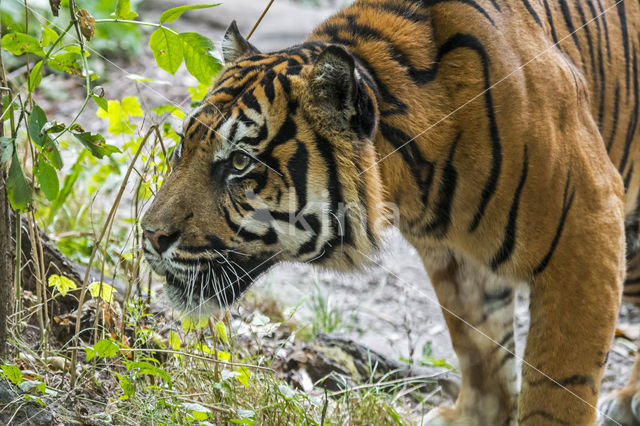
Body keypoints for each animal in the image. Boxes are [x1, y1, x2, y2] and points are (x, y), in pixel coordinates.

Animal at [141, 0, 640, 424]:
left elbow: (558, 385)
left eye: (241, 162)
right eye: (184, 145)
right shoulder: (456, 258)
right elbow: (480, 350)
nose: (149, 235)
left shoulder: (588, 229)